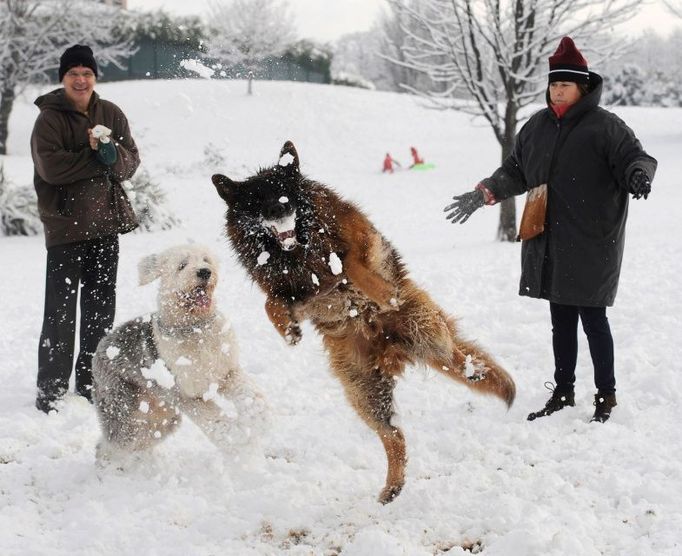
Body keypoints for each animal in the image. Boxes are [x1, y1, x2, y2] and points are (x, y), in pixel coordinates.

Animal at [91, 243, 266, 464]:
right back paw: (107, 468)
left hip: (163, 416)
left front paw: (257, 422)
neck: (196, 329)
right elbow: (215, 421)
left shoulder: (227, 372)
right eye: (182, 265)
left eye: (206, 259)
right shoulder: (186, 394)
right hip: (123, 407)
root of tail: (99, 348)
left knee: (139, 440)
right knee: (114, 443)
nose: (204, 272)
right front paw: (238, 439)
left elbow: (252, 396)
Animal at [210, 140, 512, 504]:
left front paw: (380, 292)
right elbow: (272, 304)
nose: (280, 210)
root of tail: (392, 350)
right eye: (258, 201)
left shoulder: (358, 239)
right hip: (362, 391)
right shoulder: (290, 291)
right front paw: (289, 331)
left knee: (453, 354)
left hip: (424, 327)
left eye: (285, 193)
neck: (297, 253)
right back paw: (393, 487)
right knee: (394, 436)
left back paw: (471, 368)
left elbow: (349, 262)